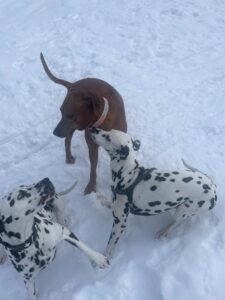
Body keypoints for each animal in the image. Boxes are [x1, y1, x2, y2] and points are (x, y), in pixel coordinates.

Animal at [40, 53, 126, 195]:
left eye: (70, 115)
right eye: (61, 112)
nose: (54, 133)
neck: (103, 120)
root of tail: (74, 84)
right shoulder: (92, 147)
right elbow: (93, 169)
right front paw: (91, 187)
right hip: (72, 129)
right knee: (67, 140)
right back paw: (69, 157)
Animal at [91, 128, 218, 260]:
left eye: (108, 137)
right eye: (108, 131)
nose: (94, 129)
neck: (128, 175)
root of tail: (212, 186)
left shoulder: (120, 222)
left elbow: (110, 244)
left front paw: (103, 257)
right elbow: (110, 203)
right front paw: (103, 200)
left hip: (184, 210)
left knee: (176, 223)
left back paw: (164, 231)